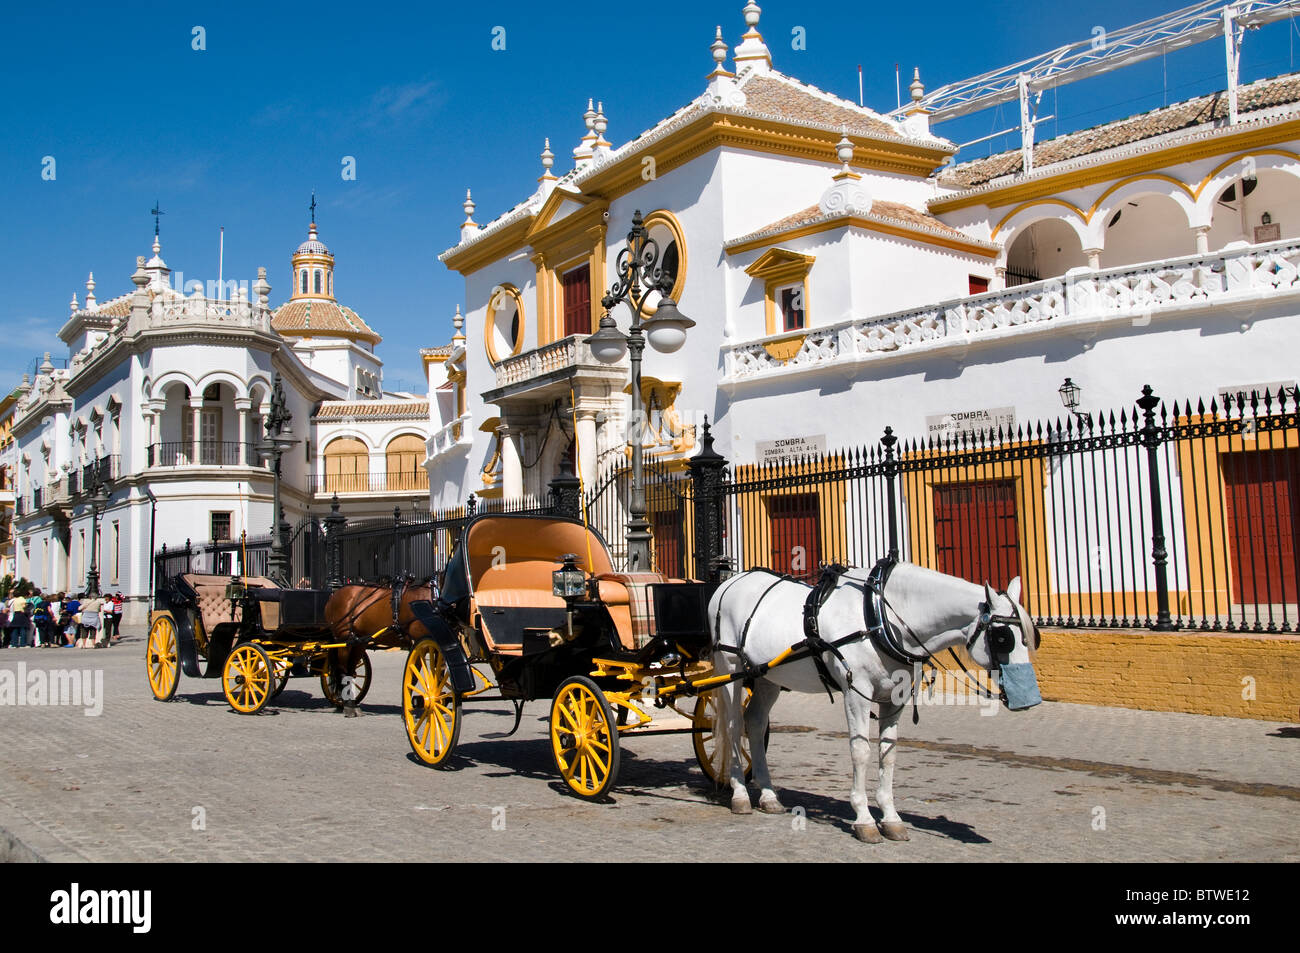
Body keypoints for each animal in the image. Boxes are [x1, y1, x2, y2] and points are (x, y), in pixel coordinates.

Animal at [707, 556, 1040, 842]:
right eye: (1003, 638)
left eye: (1032, 637)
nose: (1030, 701)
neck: (881, 615)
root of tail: (728, 583)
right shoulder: (857, 693)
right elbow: (861, 751)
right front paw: (864, 819)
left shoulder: (895, 699)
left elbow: (888, 753)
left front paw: (891, 818)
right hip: (730, 670)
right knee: (734, 726)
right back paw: (740, 793)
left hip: (768, 677)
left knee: (754, 722)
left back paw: (768, 794)